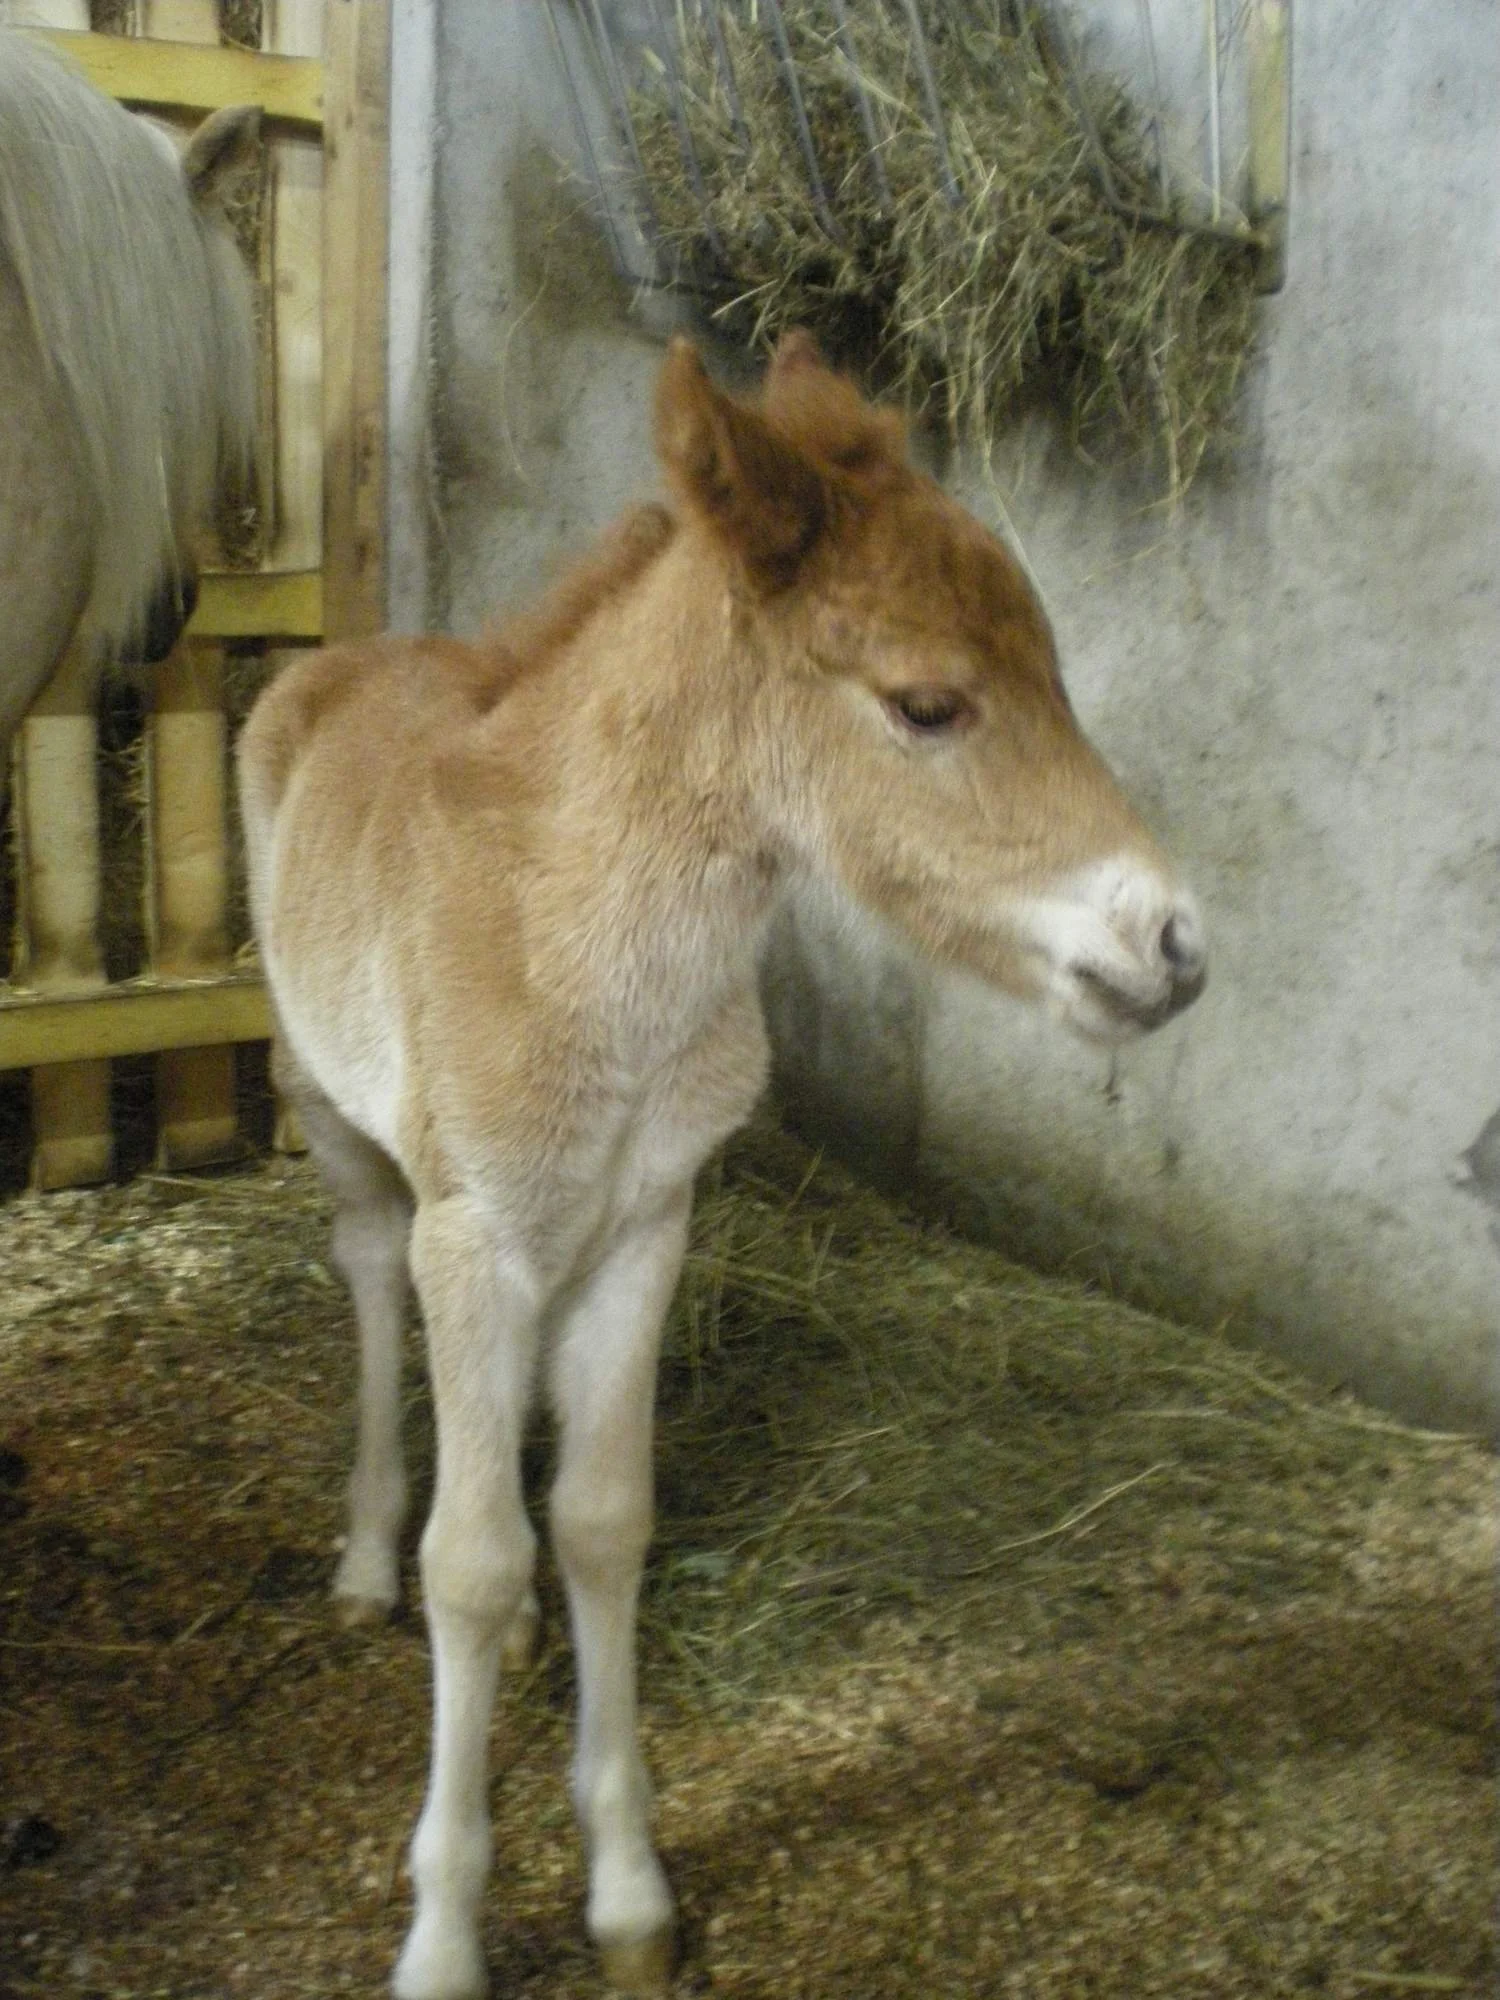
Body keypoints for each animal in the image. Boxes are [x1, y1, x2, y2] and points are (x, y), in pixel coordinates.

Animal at [237, 331, 1207, 2000]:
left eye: (1055, 673)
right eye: (929, 704)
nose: (1173, 948)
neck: (592, 950)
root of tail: (332, 660)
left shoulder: (646, 1226)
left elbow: (600, 1522)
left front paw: (627, 1894)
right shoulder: (475, 1232)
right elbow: (471, 1559)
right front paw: (443, 1936)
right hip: (334, 1107)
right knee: (365, 1279)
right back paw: (362, 1560)